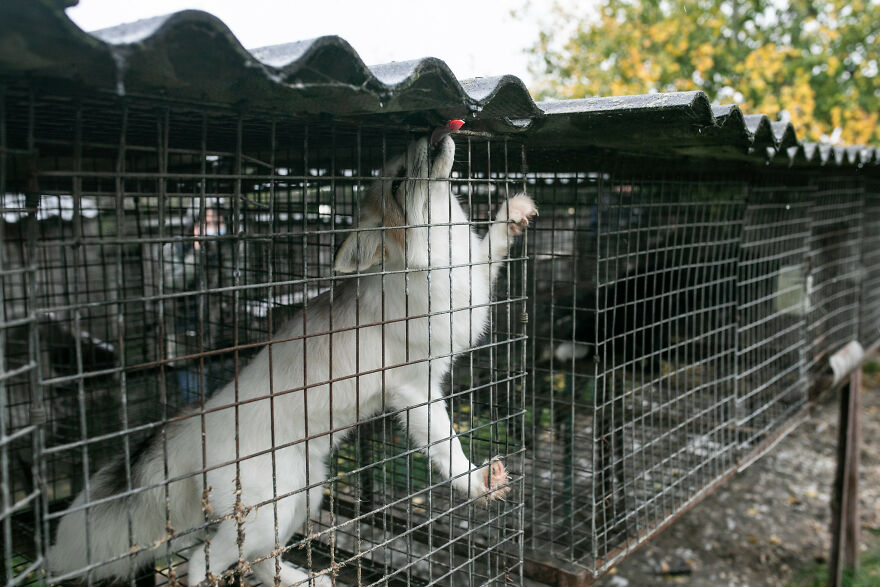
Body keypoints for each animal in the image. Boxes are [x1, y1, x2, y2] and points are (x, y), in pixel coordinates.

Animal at [49, 123, 538, 586]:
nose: (425, 132)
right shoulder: (413, 389)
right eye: (400, 182)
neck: (439, 264)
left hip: (304, 494)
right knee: (199, 563)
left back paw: (305, 581)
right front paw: (476, 483)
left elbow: (490, 250)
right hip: (270, 512)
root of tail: (196, 420)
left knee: (260, 561)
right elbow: (445, 447)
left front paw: (512, 215)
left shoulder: (475, 281)